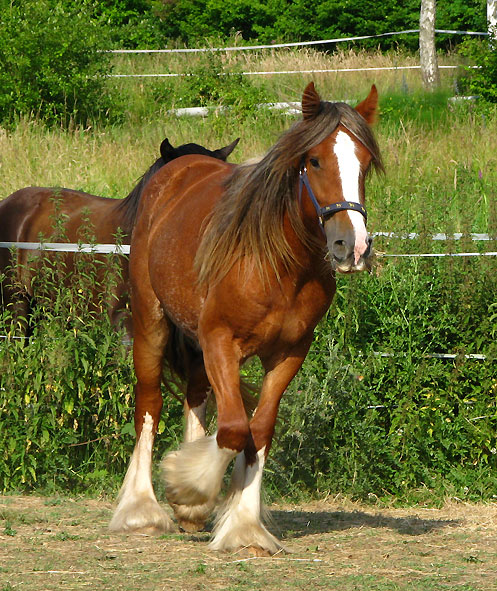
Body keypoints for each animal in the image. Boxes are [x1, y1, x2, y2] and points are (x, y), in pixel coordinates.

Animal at [110, 83, 384, 556]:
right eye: (314, 160)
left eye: (364, 162)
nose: (352, 246)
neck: (277, 263)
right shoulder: (222, 341)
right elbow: (235, 430)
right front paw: (190, 490)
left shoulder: (288, 354)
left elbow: (260, 430)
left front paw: (241, 525)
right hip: (152, 323)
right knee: (149, 403)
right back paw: (141, 509)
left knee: (195, 394)